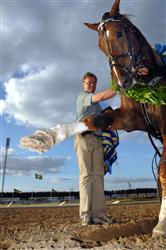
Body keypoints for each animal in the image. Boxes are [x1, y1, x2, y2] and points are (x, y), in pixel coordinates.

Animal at [83, 0, 166, 238]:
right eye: (100, 46)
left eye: (119, 33)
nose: (123, 82)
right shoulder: (131, 119)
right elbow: (102, 119)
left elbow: (163, 171)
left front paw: (161, 225)